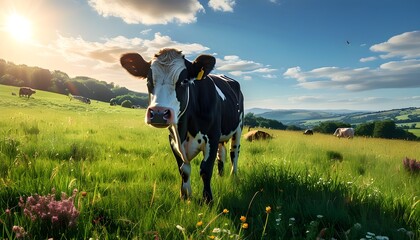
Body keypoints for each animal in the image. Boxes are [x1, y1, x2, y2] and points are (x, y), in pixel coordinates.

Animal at [120, 47, 244, 202]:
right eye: (148, 80)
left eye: (184, 81)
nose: (159, 113)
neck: (184, 129)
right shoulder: (173, 139)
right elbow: (184, 170)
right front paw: (185, 197)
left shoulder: (212, 136)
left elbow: (205, 169)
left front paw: (208, 200)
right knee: (221, 154)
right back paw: (220, 177)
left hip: (238, 128)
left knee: (234, 153)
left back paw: (233, 176)